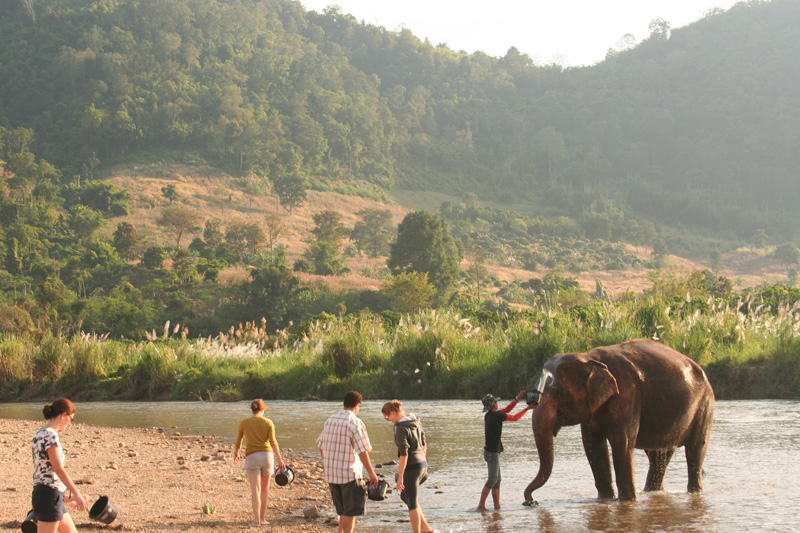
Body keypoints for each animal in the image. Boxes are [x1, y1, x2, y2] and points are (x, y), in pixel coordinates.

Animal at [524, 338, 712, 500]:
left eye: (559, 392)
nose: (530, 499)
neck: (588, 358)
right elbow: (593, 446)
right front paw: (605, 499)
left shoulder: (628, 394)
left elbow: (622, 444)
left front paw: (627, 500)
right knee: (658, 455)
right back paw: (652, 492)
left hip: (705, 405)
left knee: (695, 449)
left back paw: (694, 492)